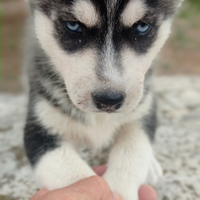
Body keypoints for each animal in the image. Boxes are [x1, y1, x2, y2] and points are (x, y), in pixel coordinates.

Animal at [24, 0, 184, 199]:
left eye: (141, 27)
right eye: (73, 25)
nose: (109, 100)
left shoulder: (142, 111)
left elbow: (134, 151)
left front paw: (121, 188)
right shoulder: (40, 129)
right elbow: (74, 175)